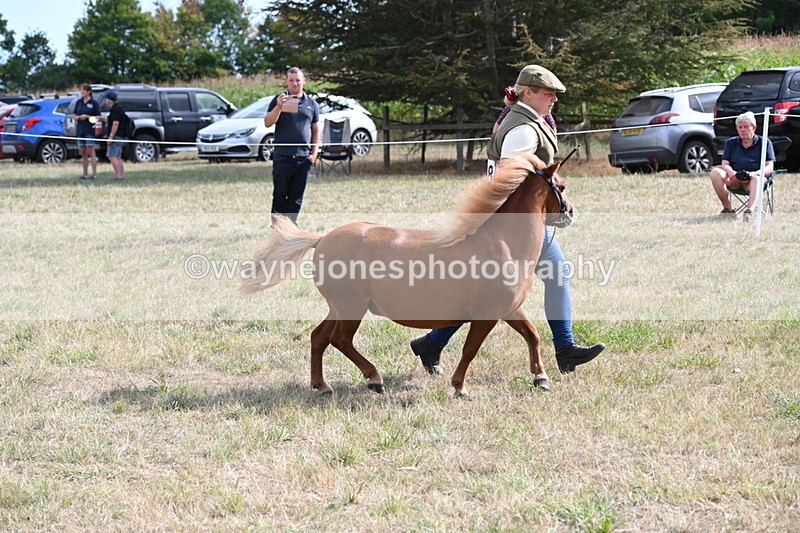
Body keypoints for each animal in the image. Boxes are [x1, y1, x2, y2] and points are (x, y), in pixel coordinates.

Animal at [243, 153, 574, 397]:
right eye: (561, 185)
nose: (569, 212)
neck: (503, 243)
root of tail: (322, 239)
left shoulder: (509, 309)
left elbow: (532, 334)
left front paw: (541, 377)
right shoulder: (487, 315)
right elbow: (470, 349)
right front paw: (459, 387)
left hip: (338, 308)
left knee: (319, 337)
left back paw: (322, 385)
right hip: (351, 308)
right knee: (339, 340)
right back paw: (374, 379)